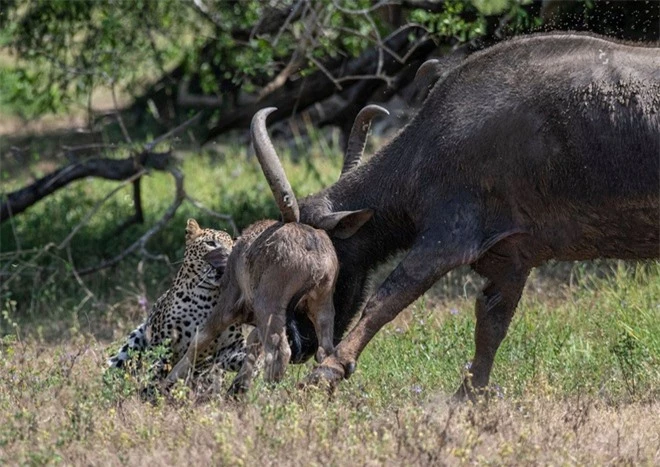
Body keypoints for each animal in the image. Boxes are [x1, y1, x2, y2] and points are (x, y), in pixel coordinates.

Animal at [108, 219, 248, 376]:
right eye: (210, 243)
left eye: (233, 247)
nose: (228, 259)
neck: (207, 297)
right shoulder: (162, 343)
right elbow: (154, 370)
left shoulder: (230, 346)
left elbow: (244, 352)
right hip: (131, 343)